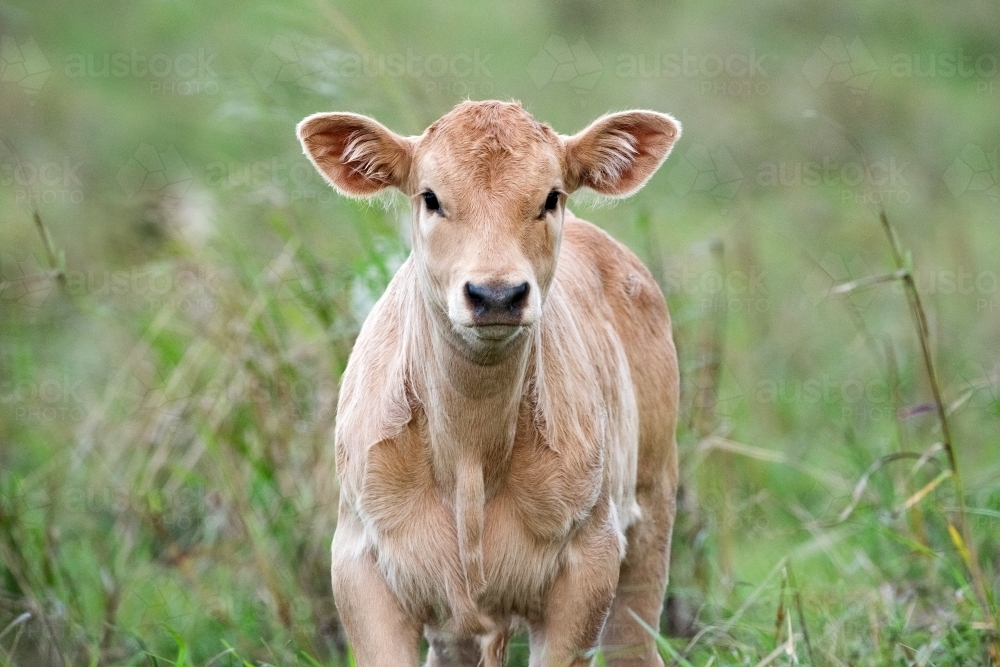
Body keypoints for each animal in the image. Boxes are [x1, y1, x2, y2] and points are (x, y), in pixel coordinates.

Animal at [297, 100, 680, 667]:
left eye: (551, 196)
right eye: (431, 197)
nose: (496, 295)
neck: (469, 454)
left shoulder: (591, 559)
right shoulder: (359, 563)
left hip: (652, 504)